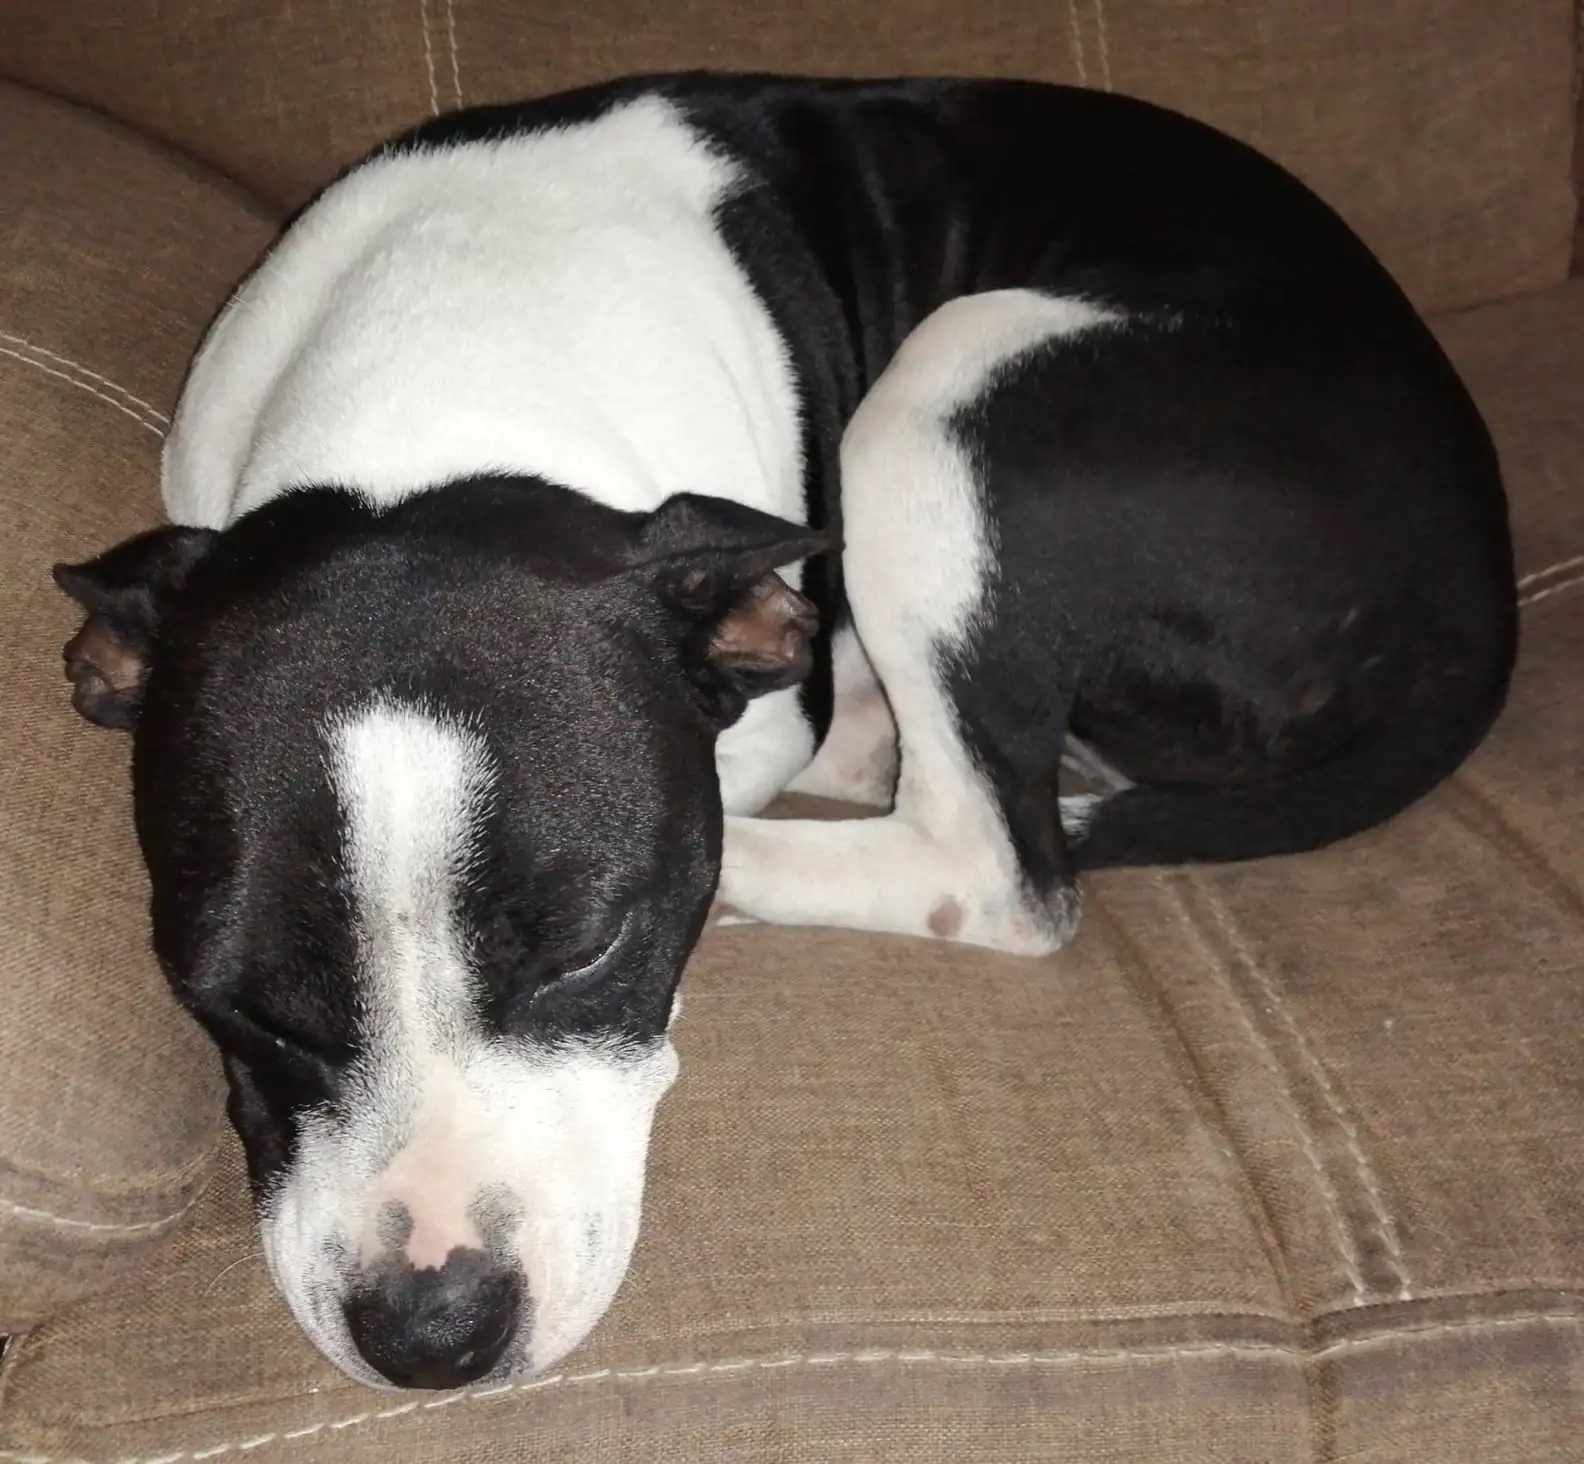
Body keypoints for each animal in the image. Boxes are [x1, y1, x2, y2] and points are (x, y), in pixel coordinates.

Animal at [55, 80, 1514, 1394]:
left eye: (589, 950)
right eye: (230, 1002)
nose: (431, 1331)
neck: (424, 414)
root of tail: (1482, 598)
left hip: (953, 385)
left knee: (992, 864)